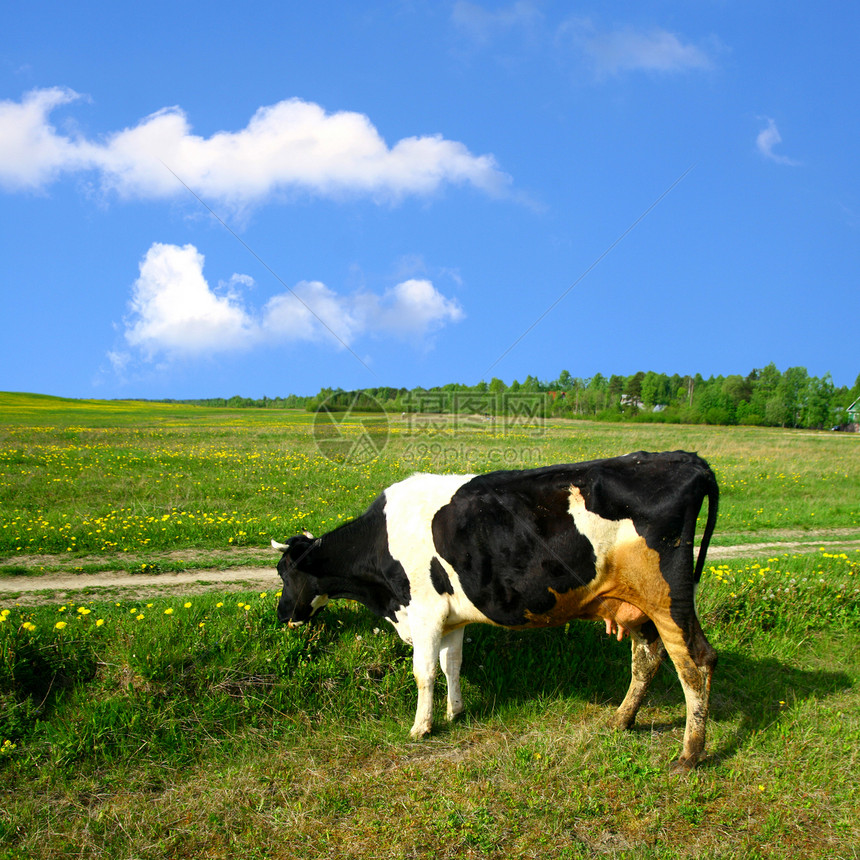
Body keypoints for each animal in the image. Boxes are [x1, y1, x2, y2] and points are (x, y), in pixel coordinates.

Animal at [276, 450, 720, 772]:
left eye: (285, 571)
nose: (282, 616)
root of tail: (686, 458)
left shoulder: (424, 613)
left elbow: (425, 673)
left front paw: (421, 727)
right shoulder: (451, 618)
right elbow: (452, 664)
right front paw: (455, 712)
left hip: (667, 598)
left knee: (695, 665)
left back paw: (689, 755)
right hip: (636, 603)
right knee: (649, 659)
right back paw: (621, 721)